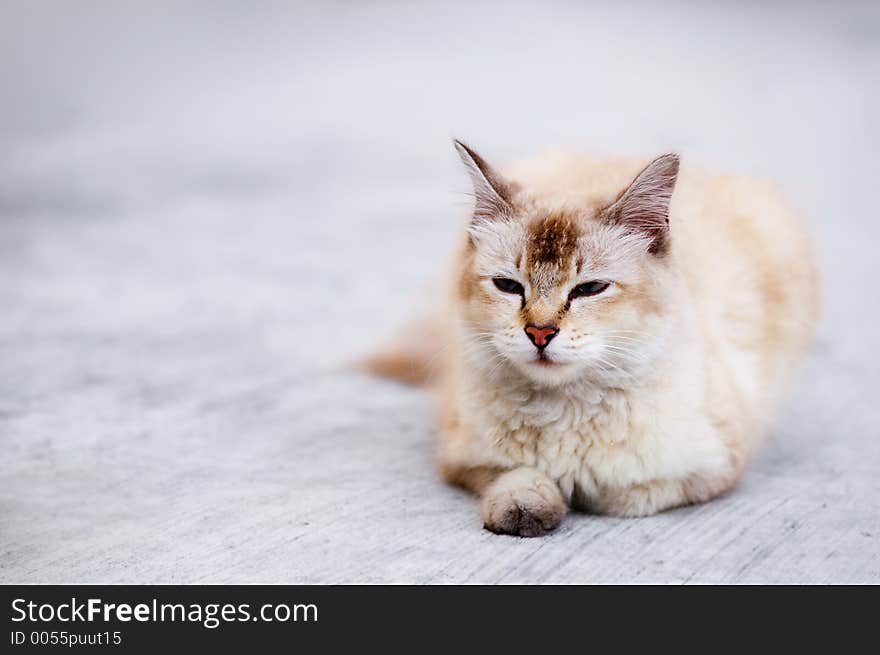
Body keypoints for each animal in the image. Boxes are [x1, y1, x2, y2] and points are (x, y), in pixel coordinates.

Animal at [364, 141, 820, 536]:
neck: (564, 407)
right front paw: (531, 509)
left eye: (589, 289)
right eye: (509, 287)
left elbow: (616, 491)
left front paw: (577, 490)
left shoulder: (706, 470)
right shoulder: (463, 457)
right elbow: (517, 478)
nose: (540, 332)